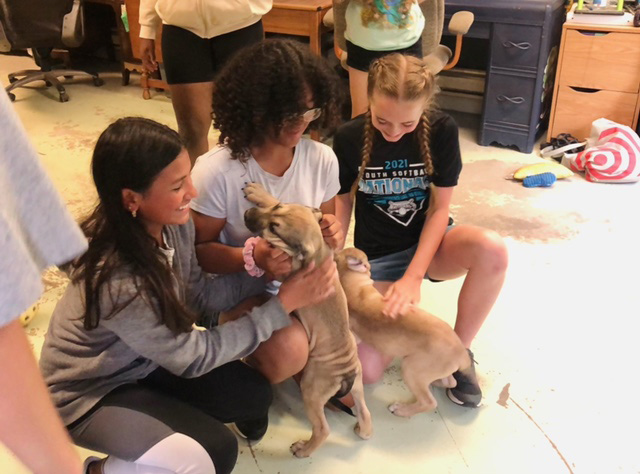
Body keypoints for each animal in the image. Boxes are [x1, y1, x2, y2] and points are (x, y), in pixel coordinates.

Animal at [241, 181, 372, 456]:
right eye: (278, 208)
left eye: (274, 229)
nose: (247, 214)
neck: (319, 251)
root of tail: (345, 373)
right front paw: (259, 193)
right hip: (358, 385)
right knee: (365, 413)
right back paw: (362, 431)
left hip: (311, 390)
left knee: (322, 429)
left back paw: (303, 449)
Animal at [336, 248, 470, 418]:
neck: (348, 283)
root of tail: (461, 355)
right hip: (412, 369)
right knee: (437, 394)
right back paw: (403, 408)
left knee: (443, 388)